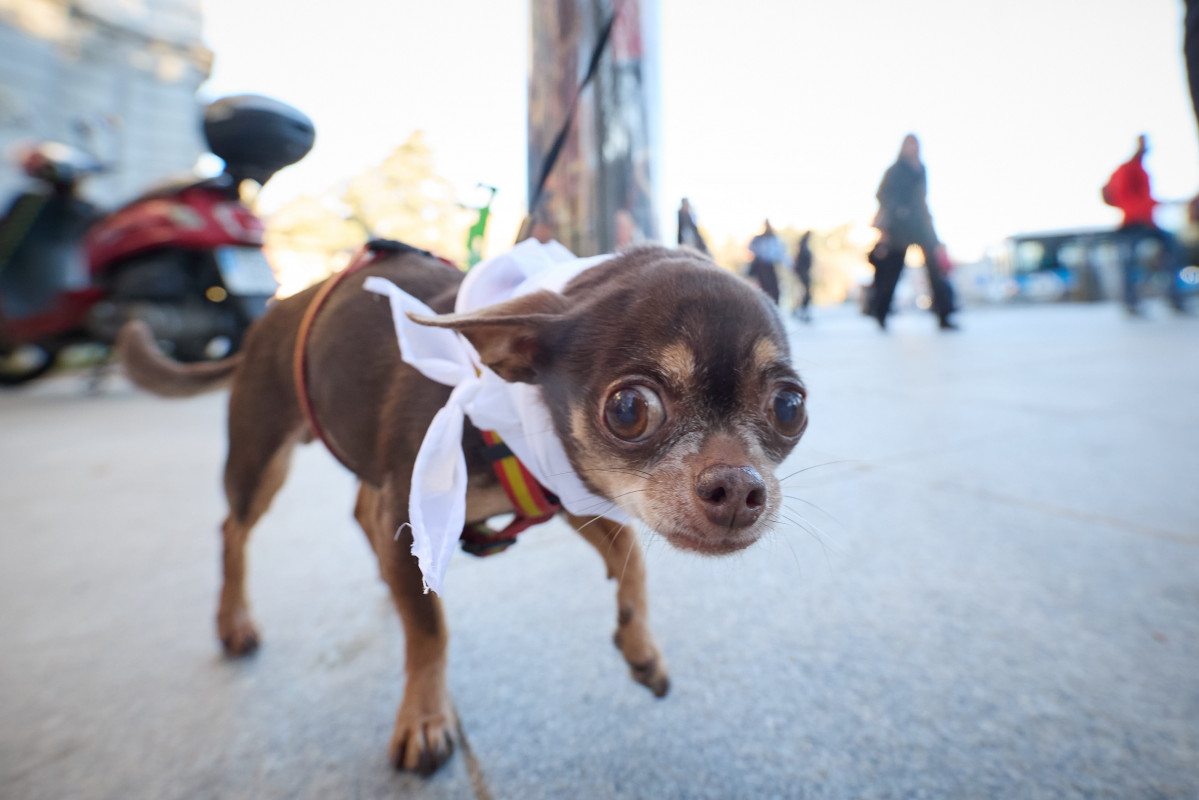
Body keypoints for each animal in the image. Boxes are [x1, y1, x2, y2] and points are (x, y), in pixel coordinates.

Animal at [116, 242, 810, 777]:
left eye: (790, 407)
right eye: (629, 409)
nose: (740, 488)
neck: (506, 403)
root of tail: (269, 315)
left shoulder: (571, 492)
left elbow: (632, 558)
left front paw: (641, 646)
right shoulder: (429, 499)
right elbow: (430, 631)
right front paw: (426, 719)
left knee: (361, 512)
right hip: (262, 458)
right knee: (233, 527)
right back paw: (234, 620)